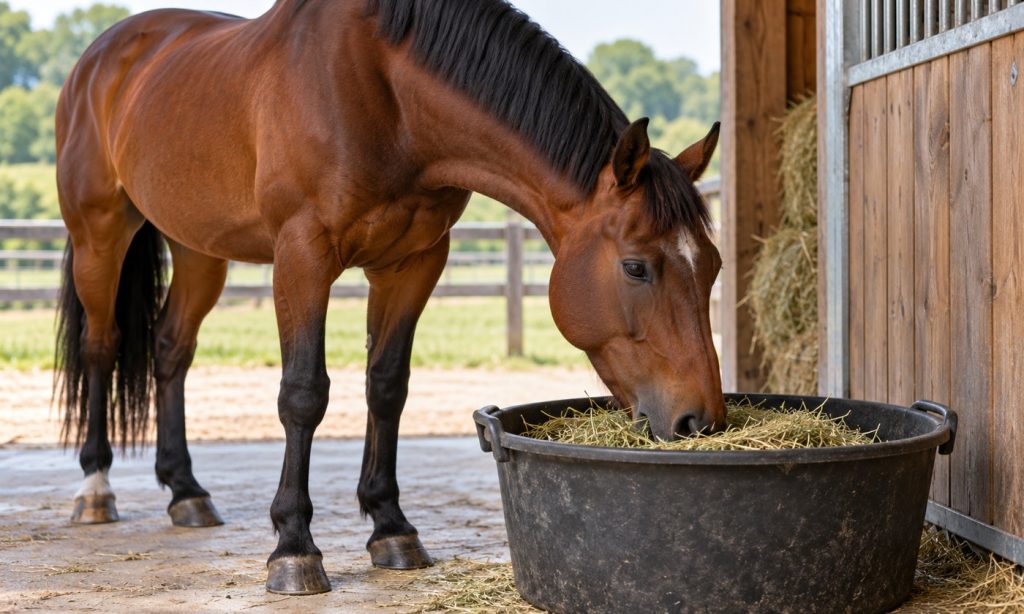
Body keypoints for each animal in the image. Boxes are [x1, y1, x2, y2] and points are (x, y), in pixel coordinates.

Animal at [54, 0, 724, 595]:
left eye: (713, 265)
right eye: (636, 268)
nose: (700, 420)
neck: (390, 101)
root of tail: (101, 56)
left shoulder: (413, 263)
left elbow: (387, 386)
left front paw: (391, 528)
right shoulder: (303, 256)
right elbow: (303, 394)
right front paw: (294, 548)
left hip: (198, 249)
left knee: (171, 350)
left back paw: (186, 491)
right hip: (99, 234)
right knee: (101, 345)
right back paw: (95, 490)